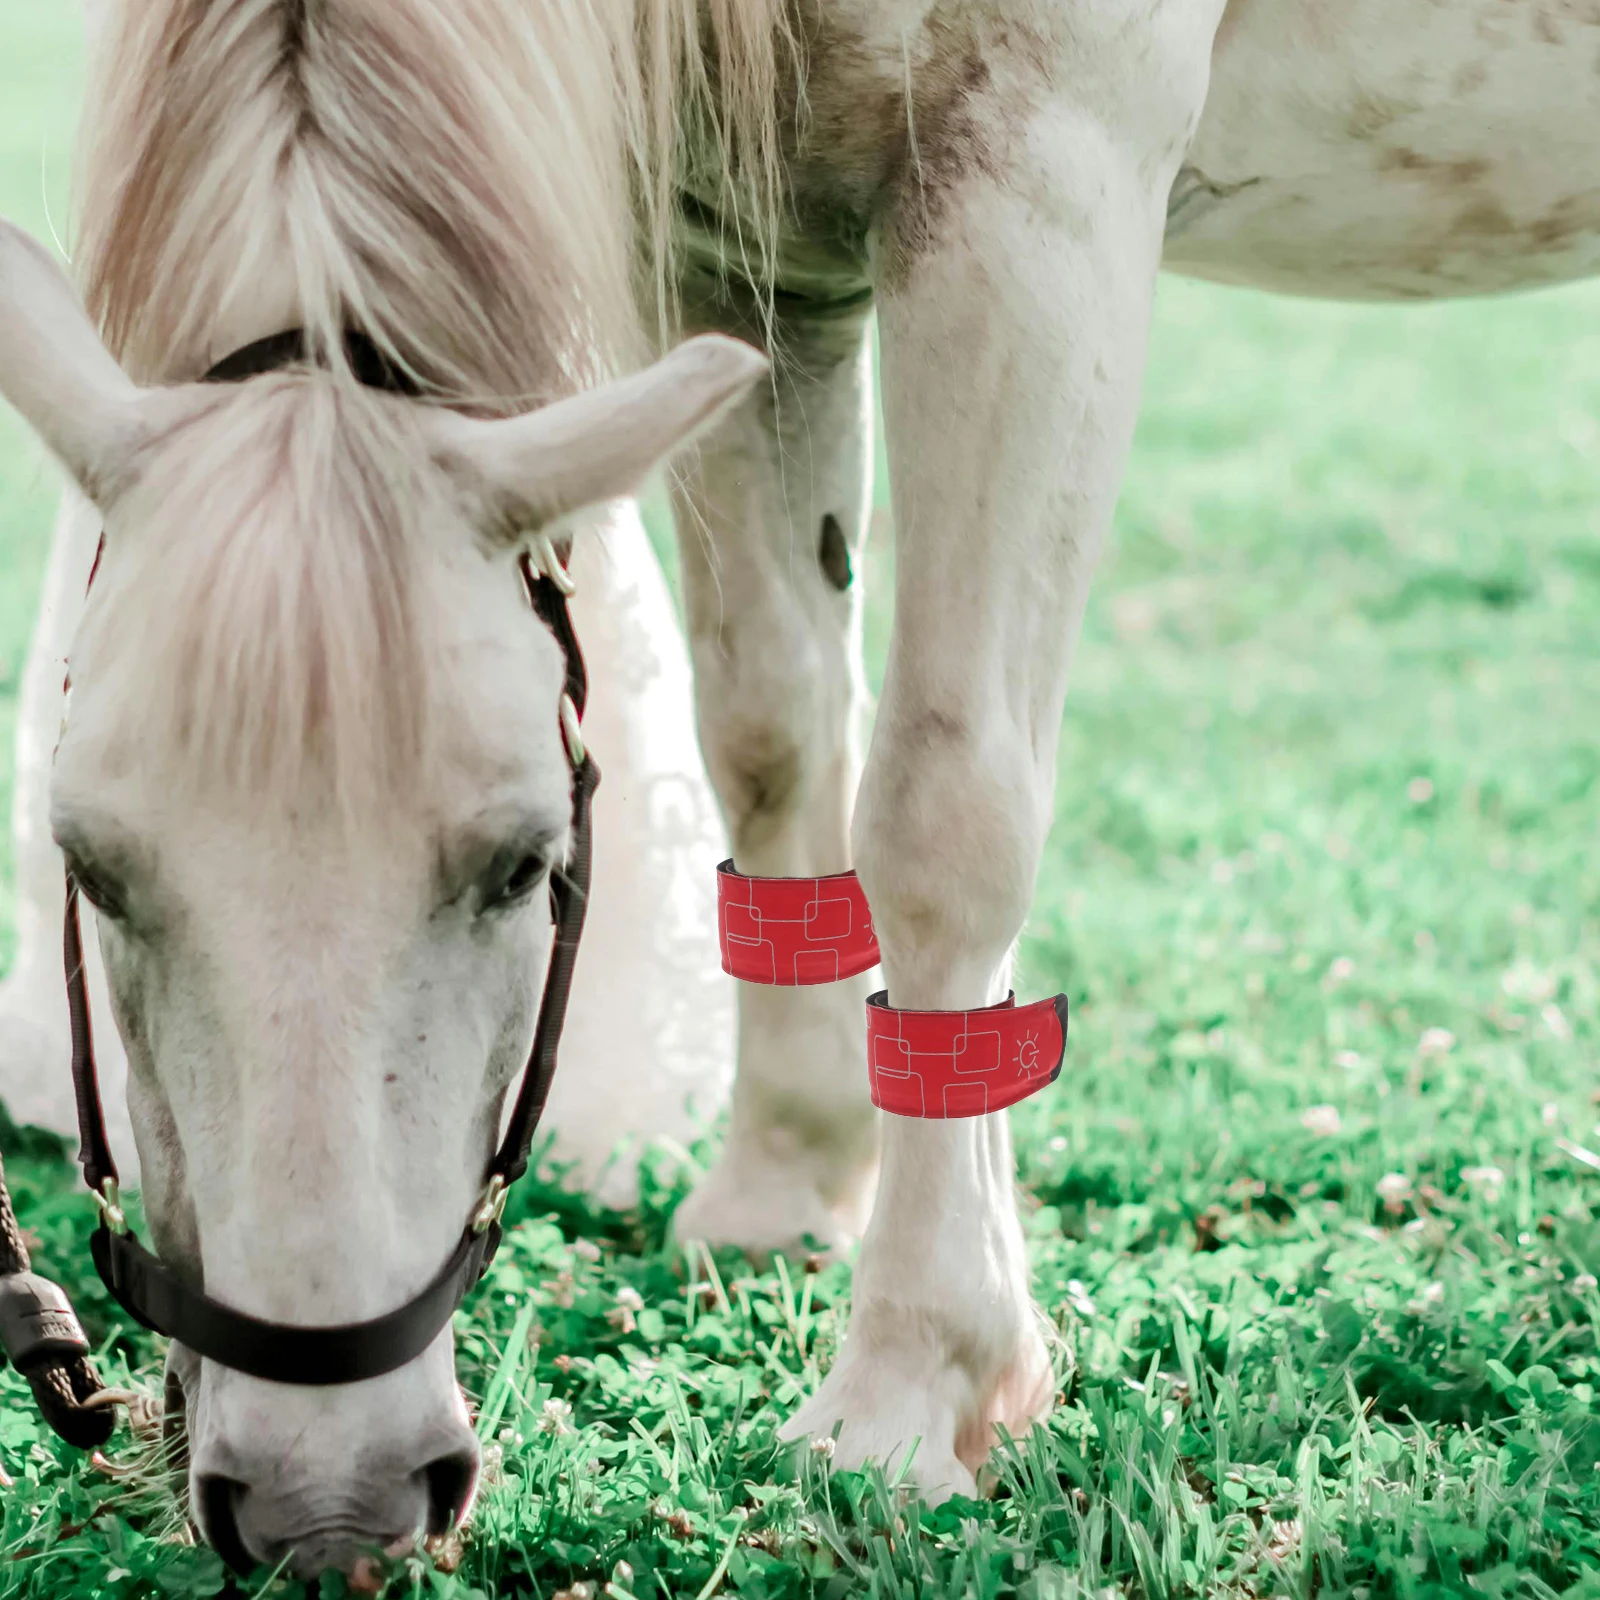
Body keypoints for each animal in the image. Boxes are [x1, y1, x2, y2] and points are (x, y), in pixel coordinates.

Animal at [1, 0, 1596, 1577]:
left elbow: (945, 805)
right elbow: (771, 733)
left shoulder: (1041, 183)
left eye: (523, 864)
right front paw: (783, 1188)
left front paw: (916, 1379)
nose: (320, 1504)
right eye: (89, 870)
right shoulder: (739, 254)